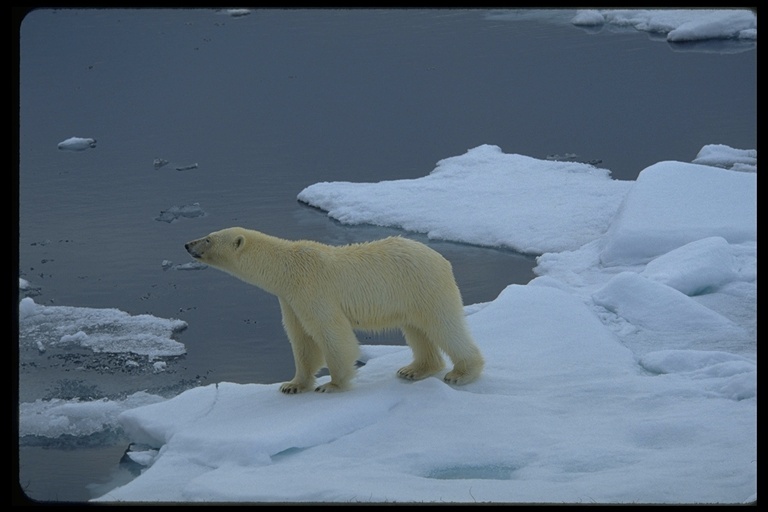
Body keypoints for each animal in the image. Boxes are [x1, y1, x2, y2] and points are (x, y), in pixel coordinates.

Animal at [185, 227, 484, 392]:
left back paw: (462, 373)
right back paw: (413, 370)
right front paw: (293, 385)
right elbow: (301, 340)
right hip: (410, 297)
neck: (287, 268)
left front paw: (331, 385)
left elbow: (330, 333)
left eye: (209, 239)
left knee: (444, 325)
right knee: (417, 330)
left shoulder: (313, 290)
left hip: (423, 286)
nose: (187, 244)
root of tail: (441, 258)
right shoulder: (290, 299)